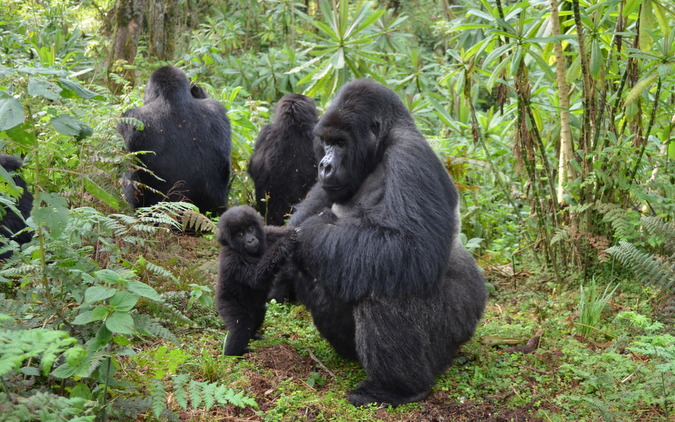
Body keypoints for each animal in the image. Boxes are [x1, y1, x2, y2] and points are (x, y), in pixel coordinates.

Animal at [215, 204, 292, 356]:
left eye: (250, 229)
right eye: (240, 234)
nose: (250, 240)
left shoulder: (268, 234)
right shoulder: (232, 259)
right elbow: (257, 277)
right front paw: (284, 244)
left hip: (256, 308)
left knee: (258, 314)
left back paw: (253, 335)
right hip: (225, 303)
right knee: (241, 324)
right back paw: (233, 353)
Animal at [278, 78, 488, 406]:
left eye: (341, 143)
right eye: (325, 142)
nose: (324, 165)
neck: (378, 150)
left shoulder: (409, 156)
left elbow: (410, 249)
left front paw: (309, 233)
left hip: (461, 322)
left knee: (388, 281)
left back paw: (398, 387)